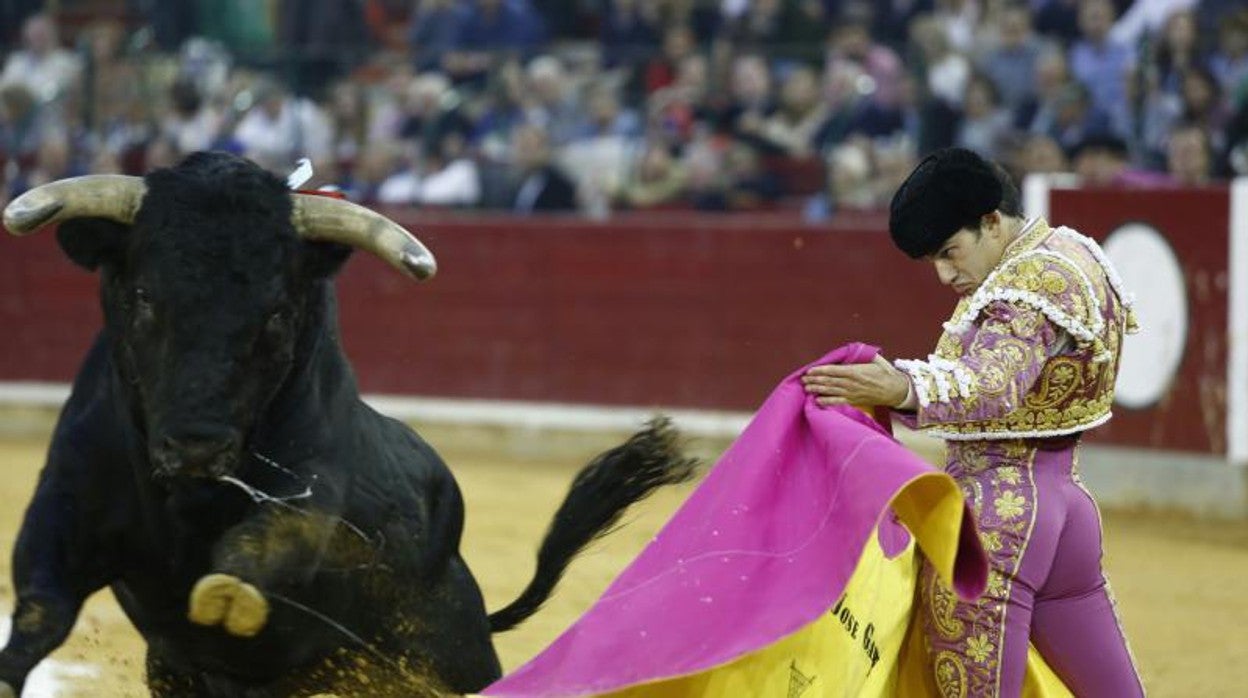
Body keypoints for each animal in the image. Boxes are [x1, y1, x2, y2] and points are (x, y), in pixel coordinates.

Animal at [0, 154, 703, 698]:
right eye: (145, 296)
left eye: (277, 312)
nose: (196, 445)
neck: (189, 502)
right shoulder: (65, 501)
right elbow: (41, 603)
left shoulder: (311, 495)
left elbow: (271, 535)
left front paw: (230, 594)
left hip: (449, 661)